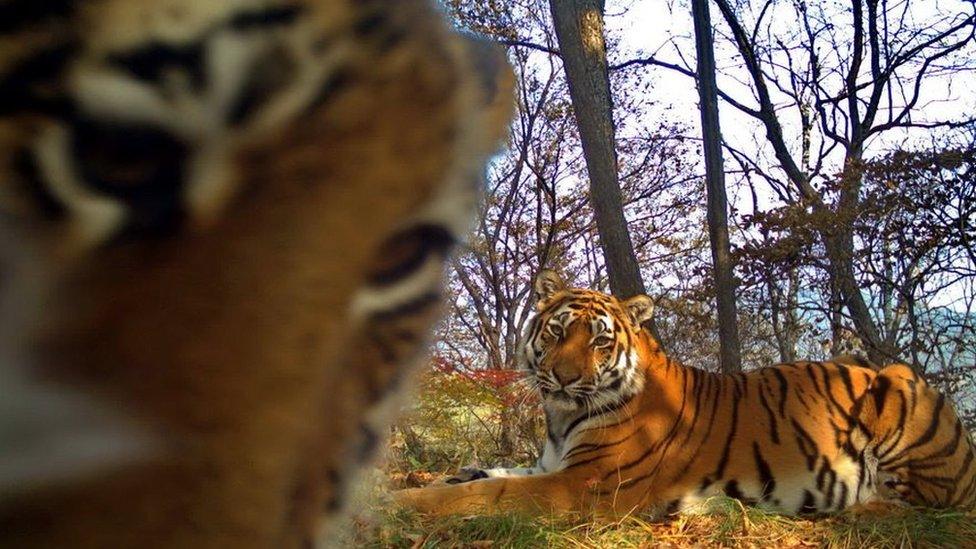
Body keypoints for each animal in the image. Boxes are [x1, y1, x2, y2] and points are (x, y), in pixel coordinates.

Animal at [392, 270, 976, 520]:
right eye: (557, 332)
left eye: (599, 340)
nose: (562, 377)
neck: (562, 416)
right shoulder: (552, 465)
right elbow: (492, 472)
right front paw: (454, 474)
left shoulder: (584, 483)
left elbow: (489, 492)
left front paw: (404, 501)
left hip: (896, 385)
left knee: (912, 502)